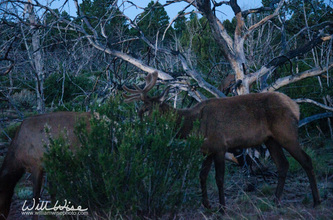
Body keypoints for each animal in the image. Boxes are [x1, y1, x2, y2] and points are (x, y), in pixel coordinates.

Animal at [123, 71, 320, 214]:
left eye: (147, 109)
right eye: (139, 110)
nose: (137, 123)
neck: (192, 125)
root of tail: (296, 107)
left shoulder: (219, 146)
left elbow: (219, 178)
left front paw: (222, 208)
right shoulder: (208, 150)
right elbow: (202, 175)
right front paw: (207, 205)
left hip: (286, 133)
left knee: (306, 160)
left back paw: (316, 201)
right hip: (271, 139)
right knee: (283, 164)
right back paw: (276, 200)